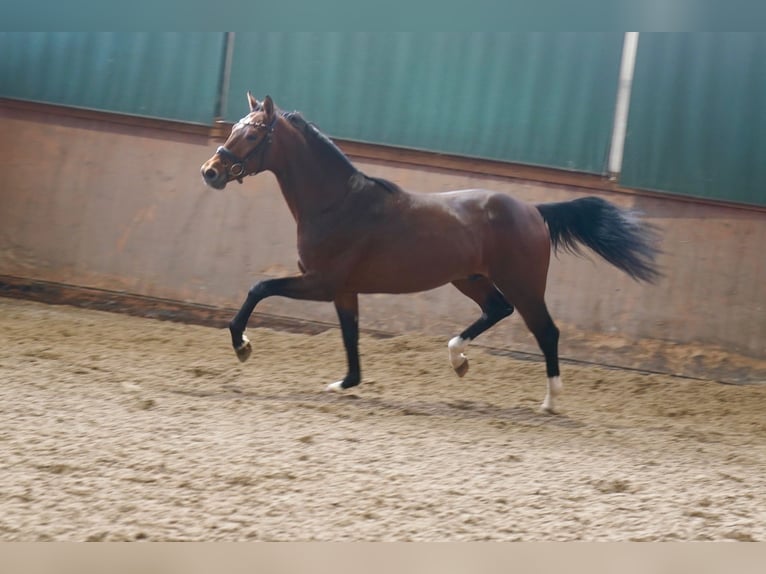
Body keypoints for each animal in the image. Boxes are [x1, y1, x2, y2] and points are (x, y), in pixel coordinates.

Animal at [201, 94, 664, 414]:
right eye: (234, 129)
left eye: (253, 134)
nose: (211, 172)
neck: (338, 204)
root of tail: (533, 210)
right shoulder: (344, 290)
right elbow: (350, 334)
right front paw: (346, 383)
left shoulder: (320, 282)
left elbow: (259, 287)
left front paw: (242, 345)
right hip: (470, 279)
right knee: (497, 310)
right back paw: (458, 357)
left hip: (524, 284)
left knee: (546, 331)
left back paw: (550, 402)